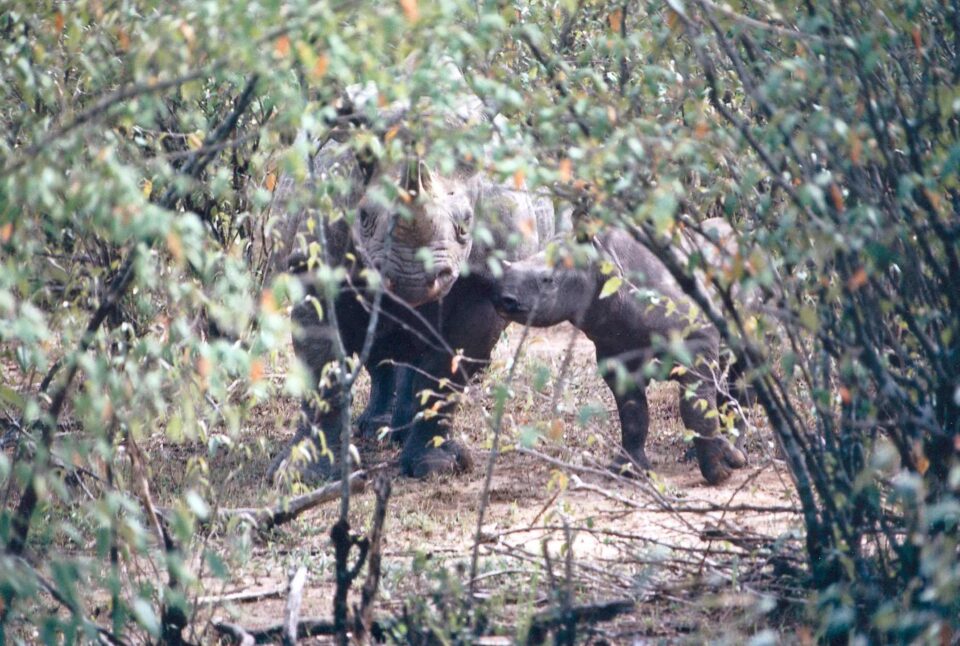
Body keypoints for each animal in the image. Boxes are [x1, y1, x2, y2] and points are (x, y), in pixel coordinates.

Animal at [265, 71, 553, 482]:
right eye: (364, 217)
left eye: (465, 225)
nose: (410, 279)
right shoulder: (315, 267)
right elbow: (323, 366)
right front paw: (307, 475)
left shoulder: (486, 283)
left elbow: (444, 372)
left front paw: (435, 467)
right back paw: (377, 429)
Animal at [492, 219, 749, 485]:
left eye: (548, 280)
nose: (503, 299)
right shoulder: (613, 352)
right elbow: (632, 412)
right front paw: (627, 471)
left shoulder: (697, 337)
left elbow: (695, 403)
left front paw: (719, 472)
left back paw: (736, 452)